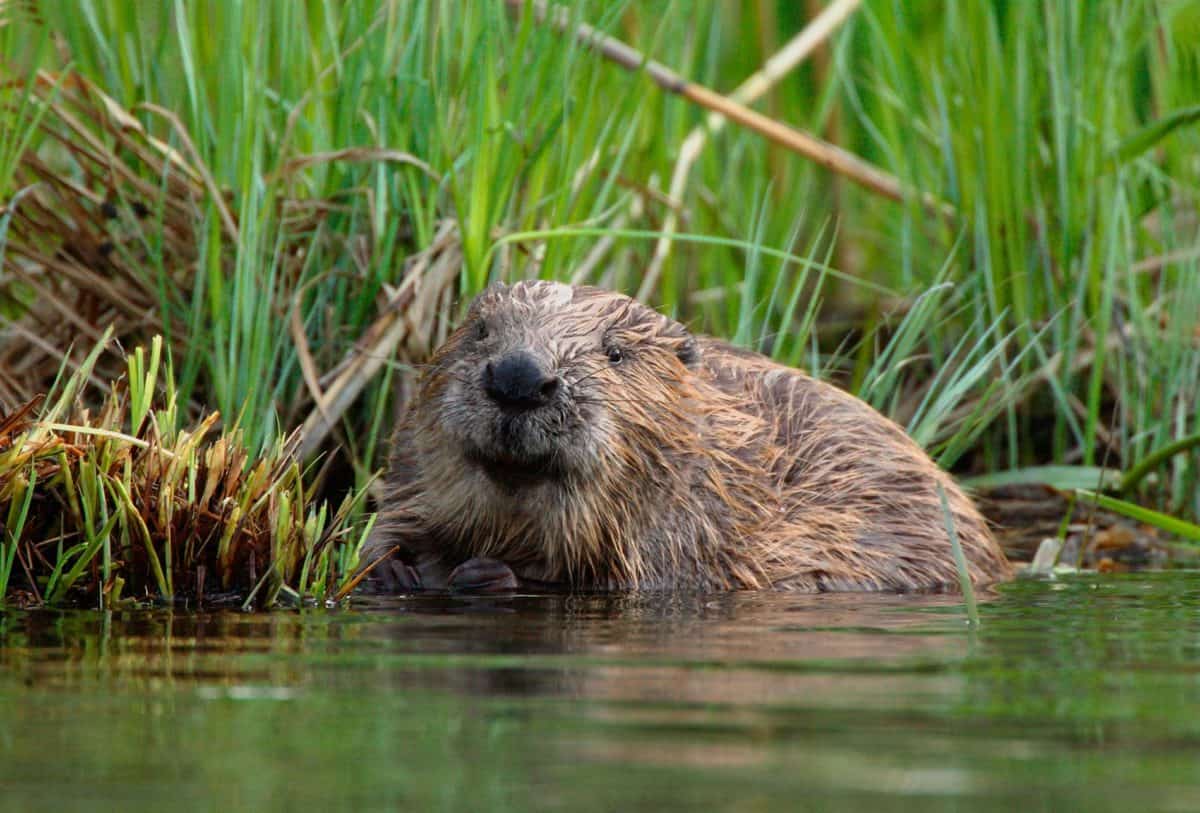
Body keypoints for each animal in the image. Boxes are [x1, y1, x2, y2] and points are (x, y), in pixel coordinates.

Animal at [364, 282, 1012, 594]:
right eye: (480, 329)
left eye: (615, 353)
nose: (519, 377)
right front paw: (388, 569)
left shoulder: (696, 528)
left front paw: (487, 574)